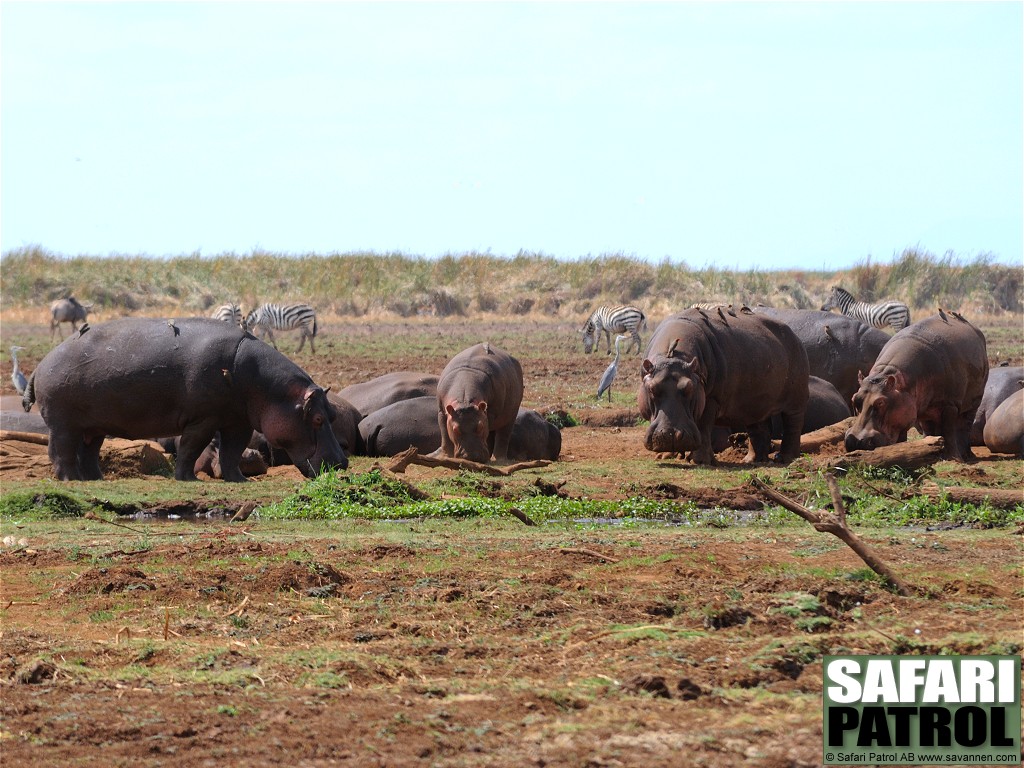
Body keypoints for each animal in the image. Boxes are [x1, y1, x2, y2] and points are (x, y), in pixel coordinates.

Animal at [19, 319, 346, 481]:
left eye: (332, 415)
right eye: (317, 418)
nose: (342, 463)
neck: (271, 389)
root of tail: (39, 365)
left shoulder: (238, 421)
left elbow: (232, 452)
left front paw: (239, 480)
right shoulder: (203, 419)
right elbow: (191, 448)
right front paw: (187, 479)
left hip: (94, 426)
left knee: (88, 451)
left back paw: (94, 479)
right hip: (64, 424)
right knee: (60, 451)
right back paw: (70, 480)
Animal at [638, 307, 806, 462]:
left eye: (689, 388)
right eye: (652, 389)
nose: (671, 435)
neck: (673, 356)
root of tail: (794, 335)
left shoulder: (712, 398)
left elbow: (703, 426)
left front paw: (699, 461)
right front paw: (664, 456)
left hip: (795, 399)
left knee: (793, 425)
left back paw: (785, 458)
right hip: (755, 402)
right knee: (758, 428)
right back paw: (751, 460)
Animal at [843, 313, 987, 462]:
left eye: (881, 402)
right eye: (854, 399)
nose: (856, 441)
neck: (887, 374)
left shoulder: (950, 404)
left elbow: (949, 431)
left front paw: (954, 459)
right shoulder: (907, 411)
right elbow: (904, 433)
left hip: (973, 402)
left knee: (964, 425)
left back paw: (966, 455)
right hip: (927, 410)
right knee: (930, 427)